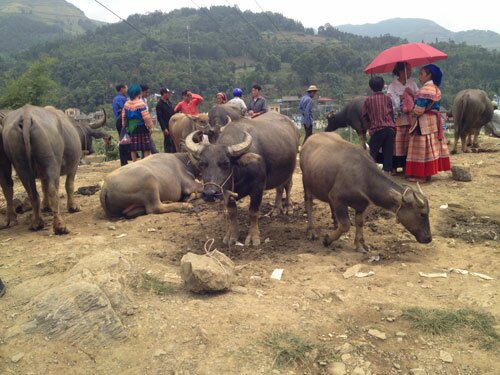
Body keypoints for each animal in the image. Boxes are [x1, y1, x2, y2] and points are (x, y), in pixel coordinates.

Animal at [1, 105, 81, 235]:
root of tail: (26, 116)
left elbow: (44, 186)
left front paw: (45, 207)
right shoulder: (74, 164)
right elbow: (69, 184)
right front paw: (73, 207)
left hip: (17, 154)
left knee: (29, 189)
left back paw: (36, 223)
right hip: (50, 154)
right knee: (53, 188)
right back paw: (60, 227)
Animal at [185, 111, 298, 247]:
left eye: (226, 163)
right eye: (202, 164)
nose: (209, 194)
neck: (238, 171)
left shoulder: (257, 189)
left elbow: (253, 212)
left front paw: (253, 237)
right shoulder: (226, 192)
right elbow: (232, 212)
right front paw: (232, 235)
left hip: (290, 169)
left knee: (288, 185)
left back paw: (289, 207)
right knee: (279, 188)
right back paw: (276, 209)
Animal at [298, 132, 432, 253]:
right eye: (422, 214)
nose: (428, 238)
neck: (363, 176)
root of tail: (309, 139)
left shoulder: (361, 204)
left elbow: (360, 223)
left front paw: (360, 245)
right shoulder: (337, 198)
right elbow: (345, 225)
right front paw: (327, 240)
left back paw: (335, 222)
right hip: (306, 183)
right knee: (308, 203)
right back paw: (311, 231)